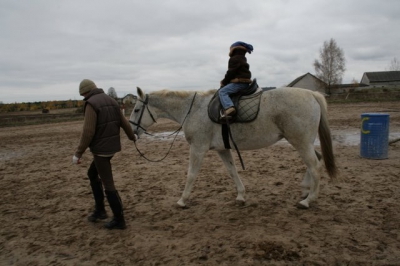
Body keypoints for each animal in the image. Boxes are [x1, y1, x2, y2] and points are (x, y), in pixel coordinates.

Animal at [130, 86, 336, 209]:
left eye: (137, 110)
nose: (132, 133)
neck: (193, 110)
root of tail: (311, 94)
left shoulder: (198, 148)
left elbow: (191, 175)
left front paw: (182, 200)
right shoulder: (222, 149)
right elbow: (232, 171)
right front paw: (241, 196)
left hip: (300, 141)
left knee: (314, 166)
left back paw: (309, 200)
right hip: (304, 142)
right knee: (315, 161)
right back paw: (306, 190)